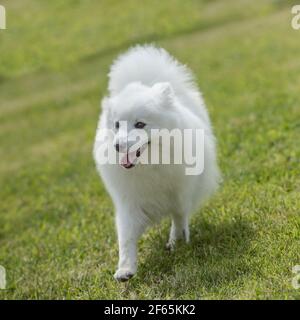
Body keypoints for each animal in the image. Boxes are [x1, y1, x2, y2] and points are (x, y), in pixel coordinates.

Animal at [94, 44, 220, 280]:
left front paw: (177, 241)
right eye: (117, 125)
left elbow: (179, 218)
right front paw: (125, 269)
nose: (117, 146)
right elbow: (126, 239)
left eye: (140, 124)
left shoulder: (179, 195)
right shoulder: (128, 202)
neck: (150, 165)